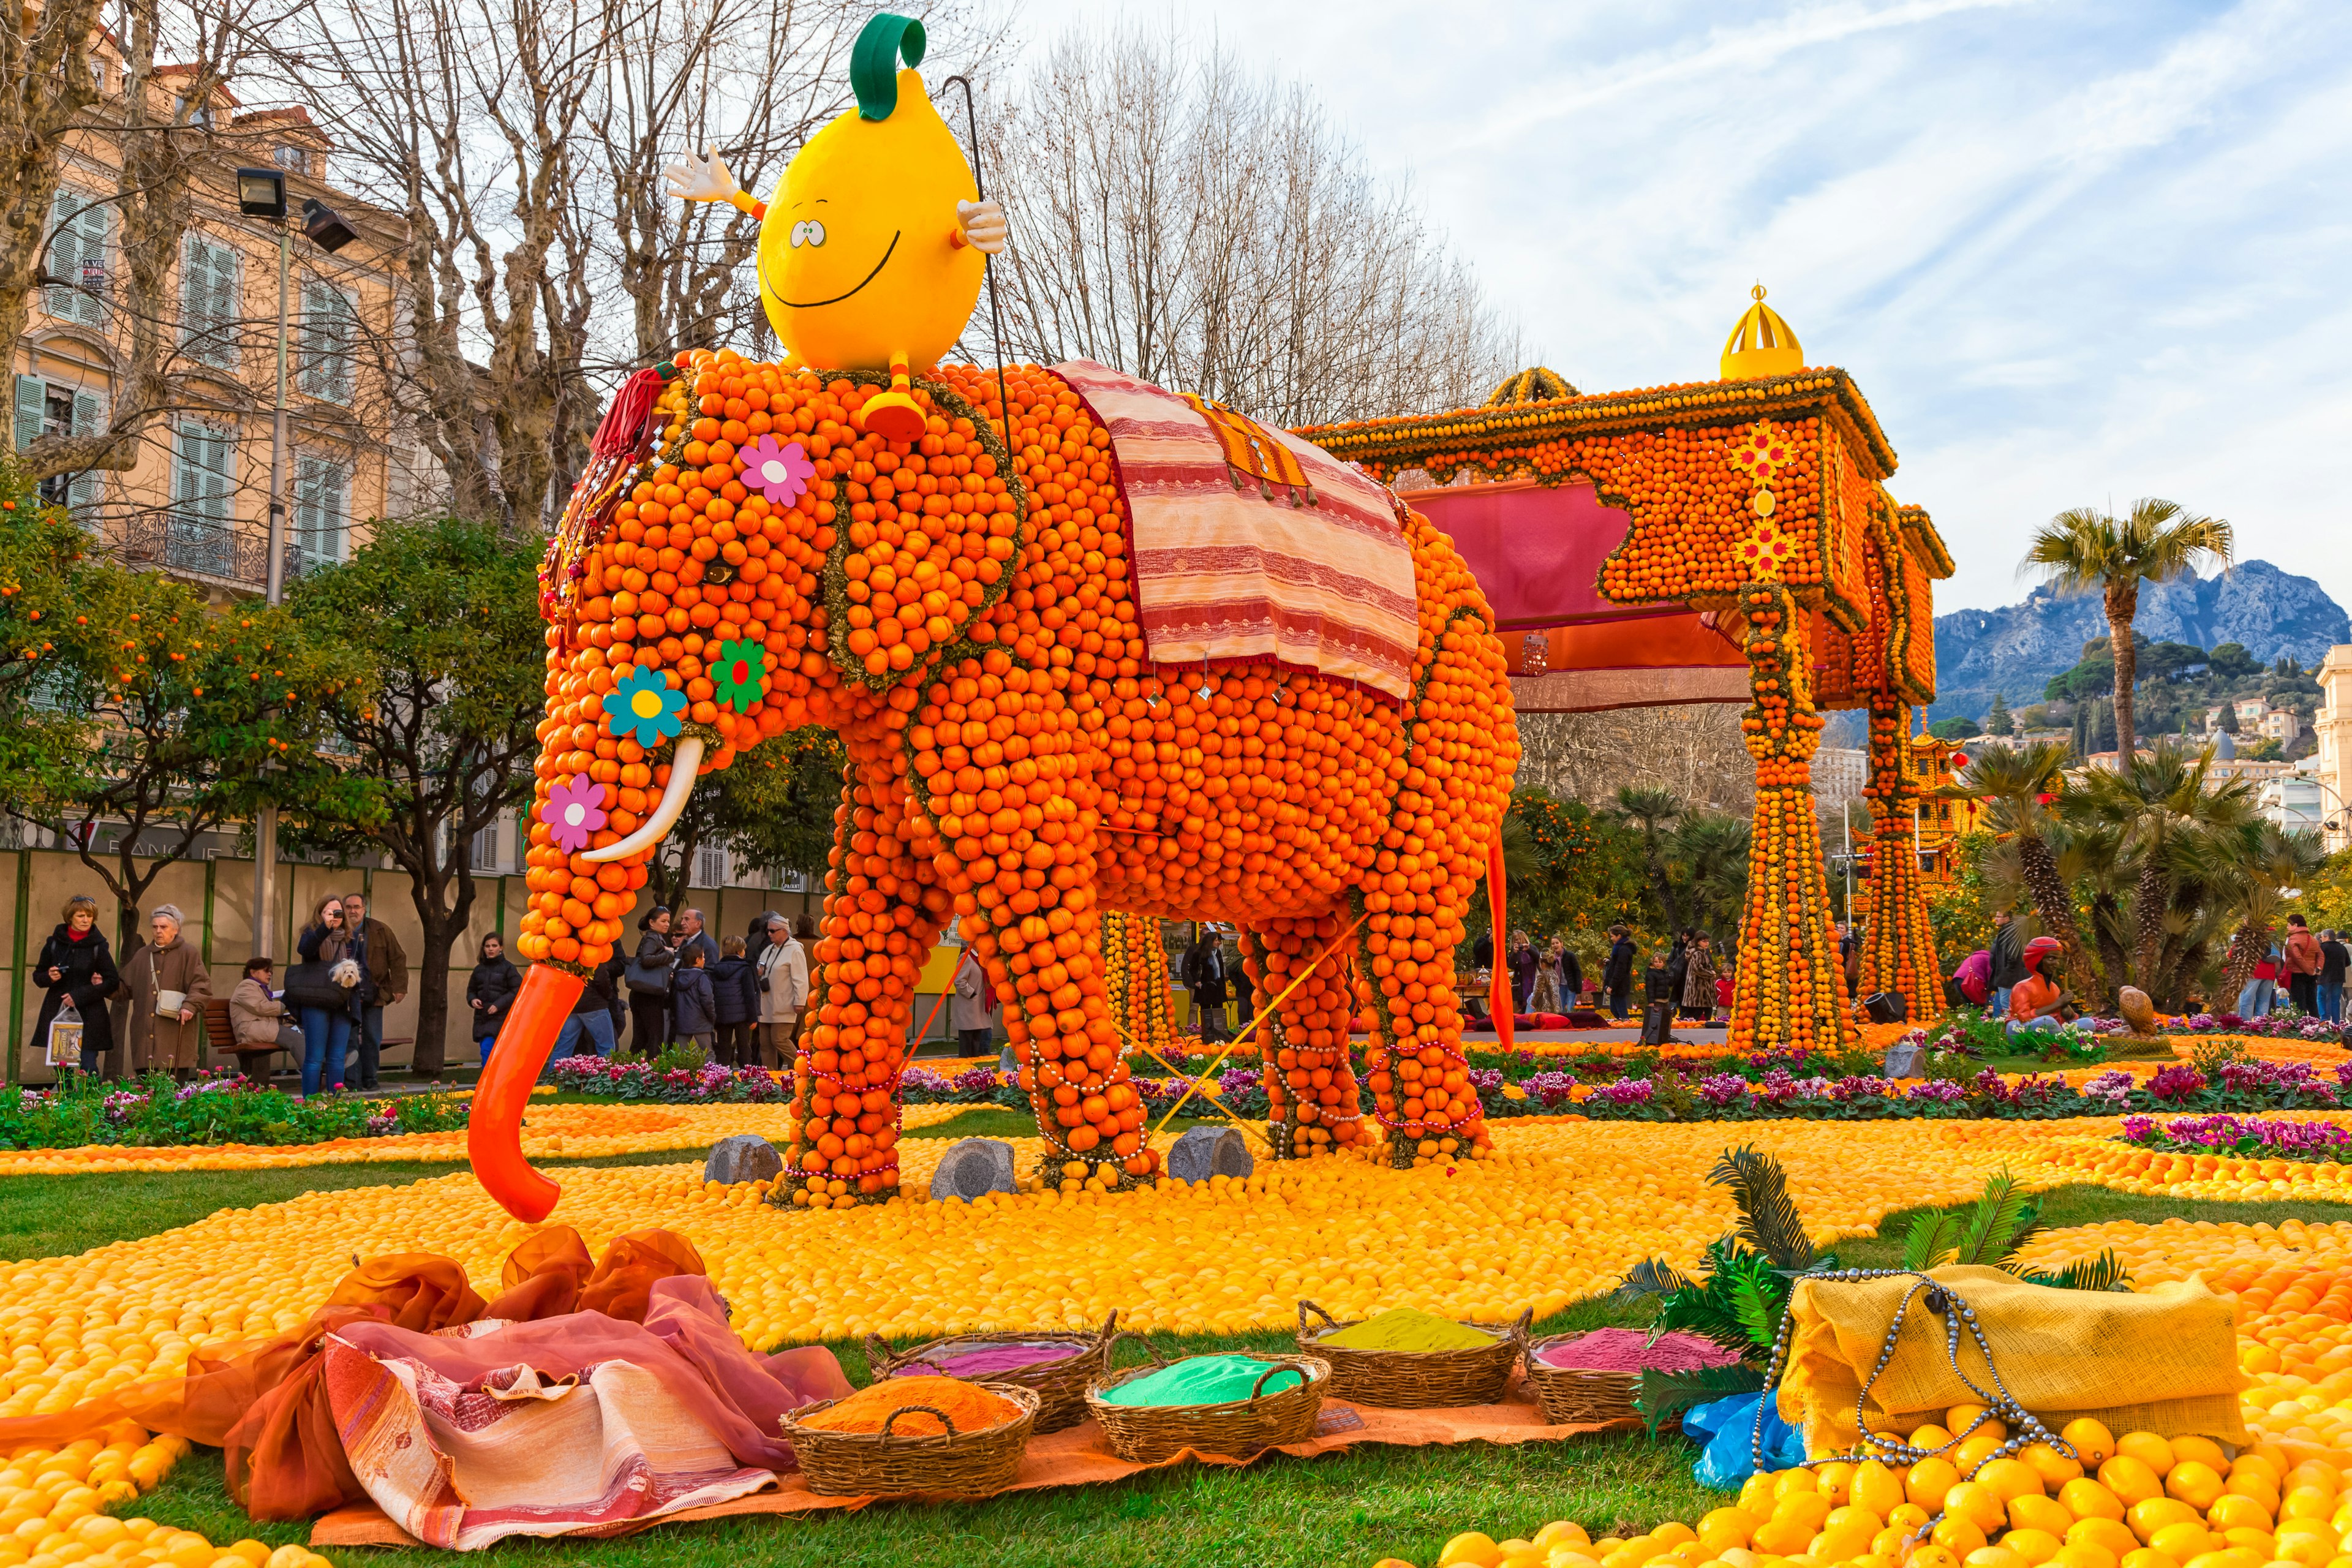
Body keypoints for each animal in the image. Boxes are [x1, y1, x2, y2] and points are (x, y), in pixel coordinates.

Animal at [472, 350, 1524, 1222]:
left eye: (723, 567)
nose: (545, 1200)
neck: (872, 395)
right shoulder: (903, 714)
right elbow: (871, 907)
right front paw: (821, 1196)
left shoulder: (999, 677)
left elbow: (1019, 887)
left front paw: (1109, 1183)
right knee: (1294, 933)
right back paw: (1323, 1151)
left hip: (1453, 703)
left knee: (1401, 922)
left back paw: (1438, 1153)